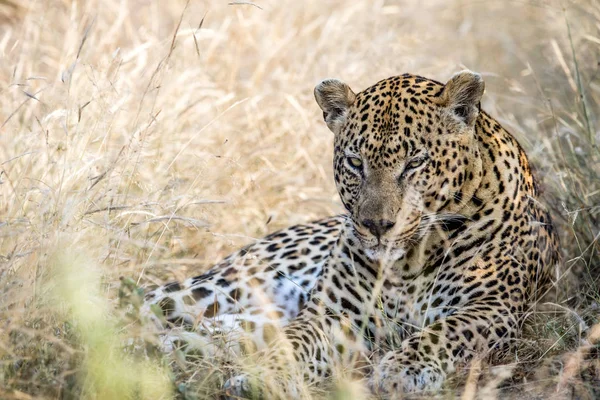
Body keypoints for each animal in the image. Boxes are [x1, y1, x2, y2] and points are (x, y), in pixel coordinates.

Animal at [143, 70, 560, 398]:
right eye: (355, 162)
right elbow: (292, 344)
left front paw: (401, 370)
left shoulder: (493, 307)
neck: (410, 262)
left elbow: (445, 331)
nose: (376, 226)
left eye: (415, 163)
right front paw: (267, 376)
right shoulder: (331, 315)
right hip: (220, 286)